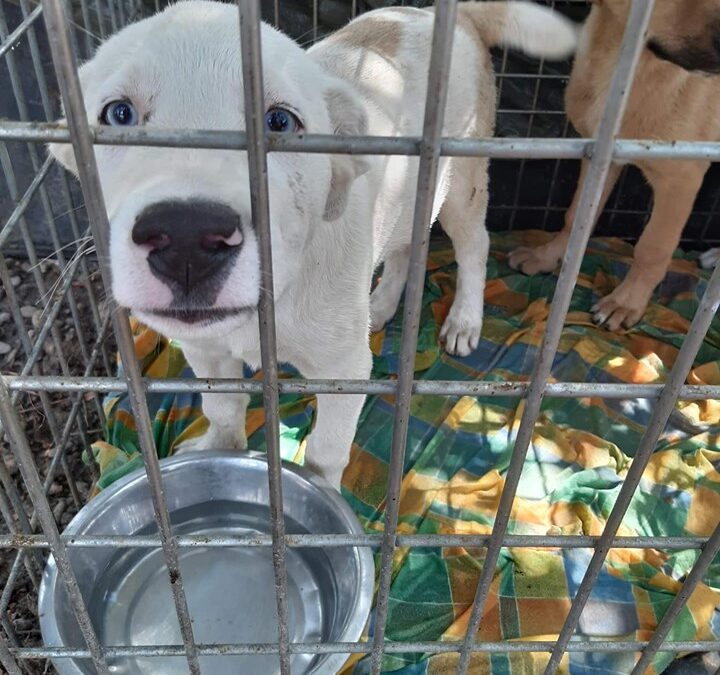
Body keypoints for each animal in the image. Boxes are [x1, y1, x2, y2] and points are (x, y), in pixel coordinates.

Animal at [49, 0, 576, 490]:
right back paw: (381, 304)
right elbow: (222, 405)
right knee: (406, 246)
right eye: (118, 115)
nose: (185, 240)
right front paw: (221, 448)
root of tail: (442, 14)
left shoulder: (346, 369)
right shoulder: (207, 350)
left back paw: (465, 319)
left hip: (463, 180)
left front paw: (325, 495)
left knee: (474, 247)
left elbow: (327, 448)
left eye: (280, 123)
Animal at [509, 0, 720, 331]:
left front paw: (626, 302)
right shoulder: (599, 156)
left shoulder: (681, 179)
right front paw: (547, 257)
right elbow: (576, 217)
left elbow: (653, 247)